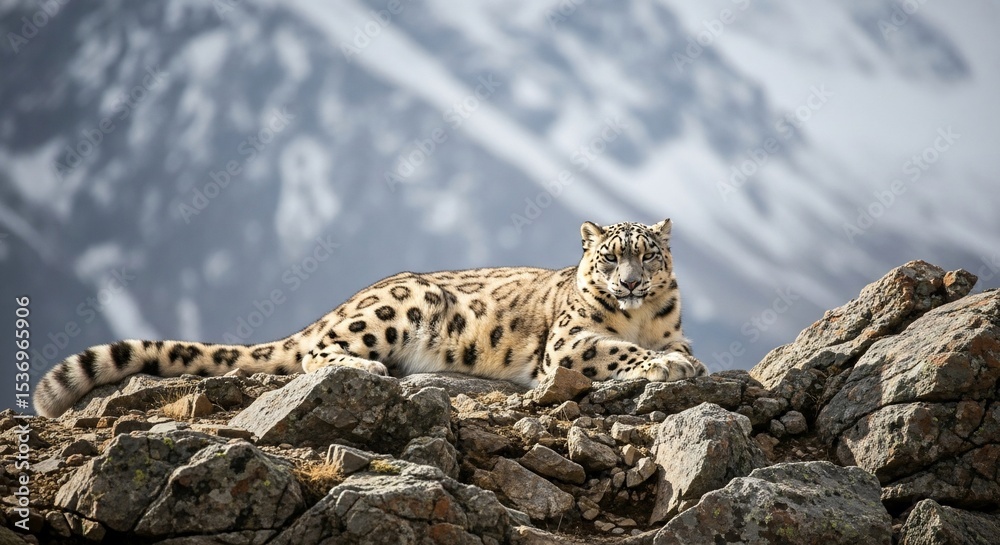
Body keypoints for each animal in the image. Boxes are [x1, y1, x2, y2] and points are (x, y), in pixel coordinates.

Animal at [34, 219, 707, 418]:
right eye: (610, 257)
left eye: (648, 255)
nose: (630, 284)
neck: (640, 319)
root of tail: (349, 297)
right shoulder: (568, 342)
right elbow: (615, 350)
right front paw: (667, 366)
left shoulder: (671, 328)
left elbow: (674, 348)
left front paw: (679, 361)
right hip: (400, 307)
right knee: (316, 351)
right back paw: (369, 368)